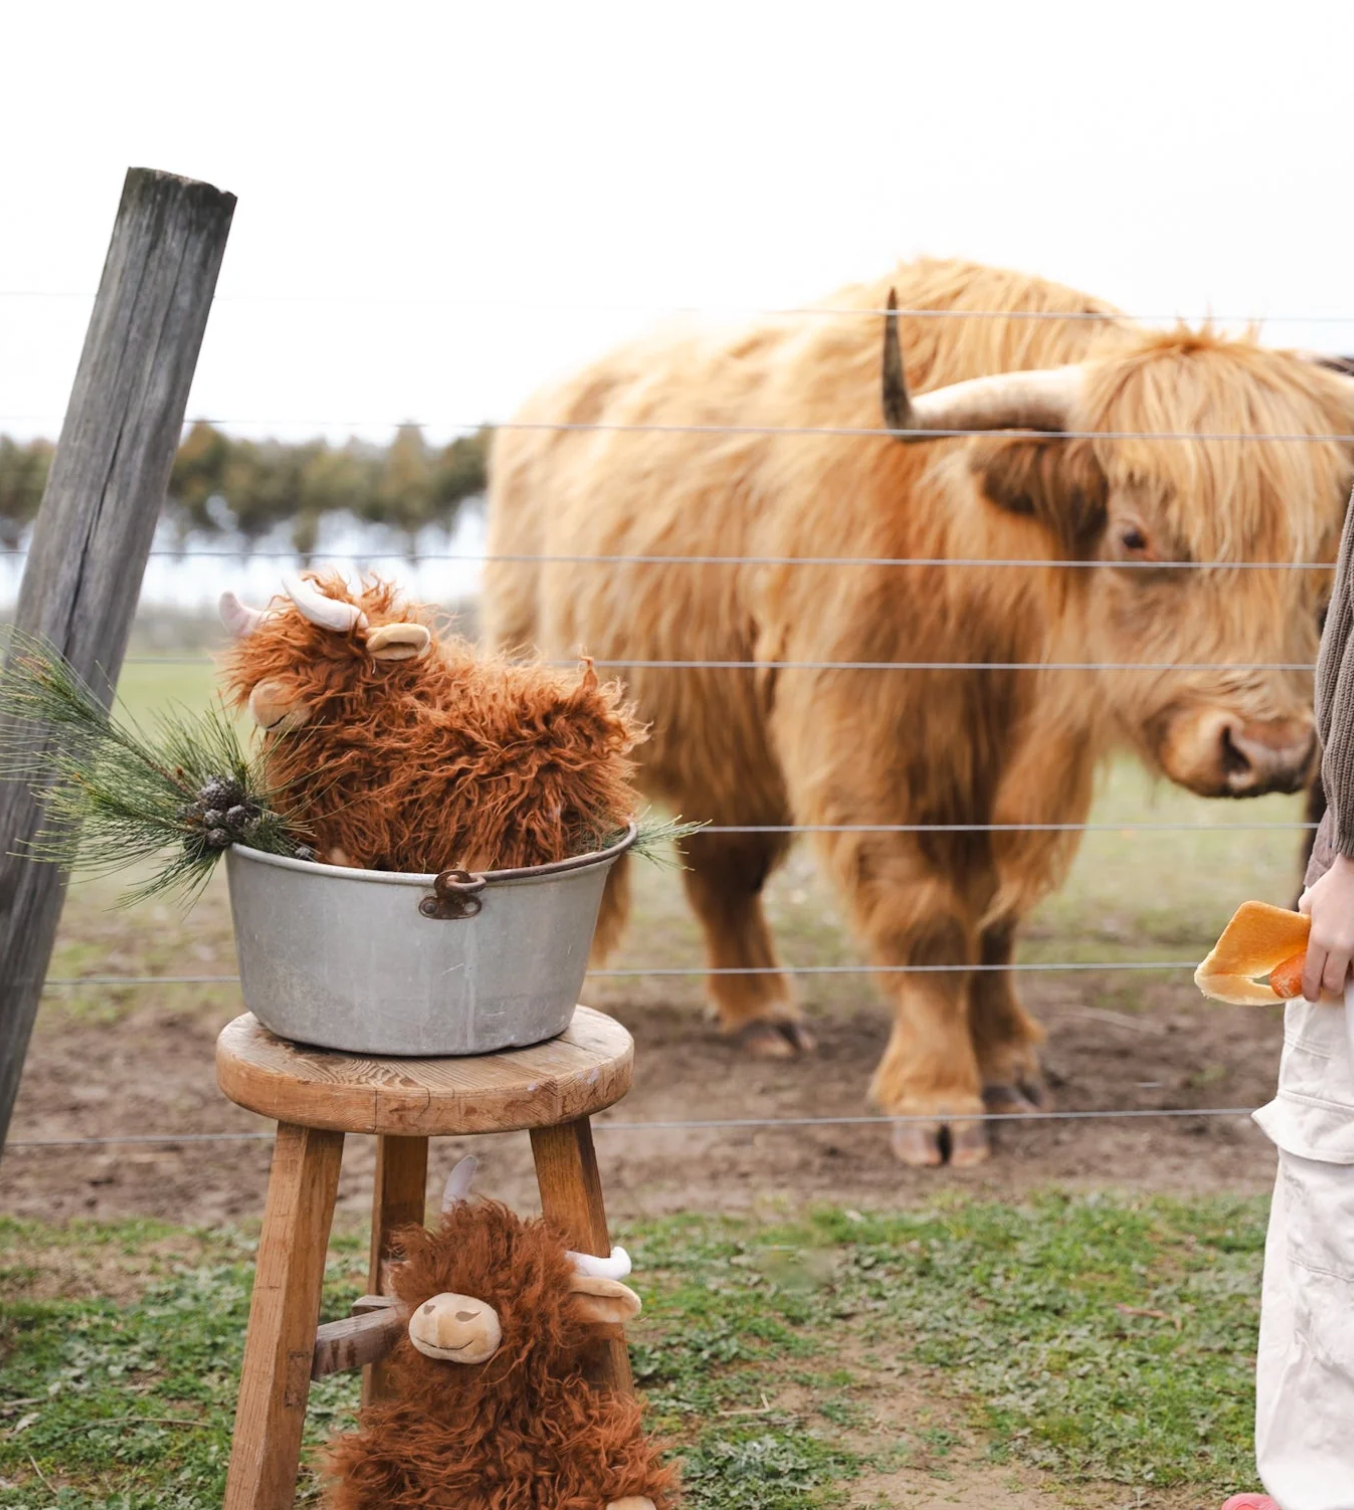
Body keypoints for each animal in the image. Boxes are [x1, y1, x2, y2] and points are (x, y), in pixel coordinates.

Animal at [482, 257, 1354, 1168]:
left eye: (1310, 552)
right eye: (1134, 536)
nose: (1269, 750)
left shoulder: (1009, 783)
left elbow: (995, 929)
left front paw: (1007, 1066)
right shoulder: (860, 749)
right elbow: (926, 923)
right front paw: (938, 1103)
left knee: (727, 873)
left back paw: (761, 1015)